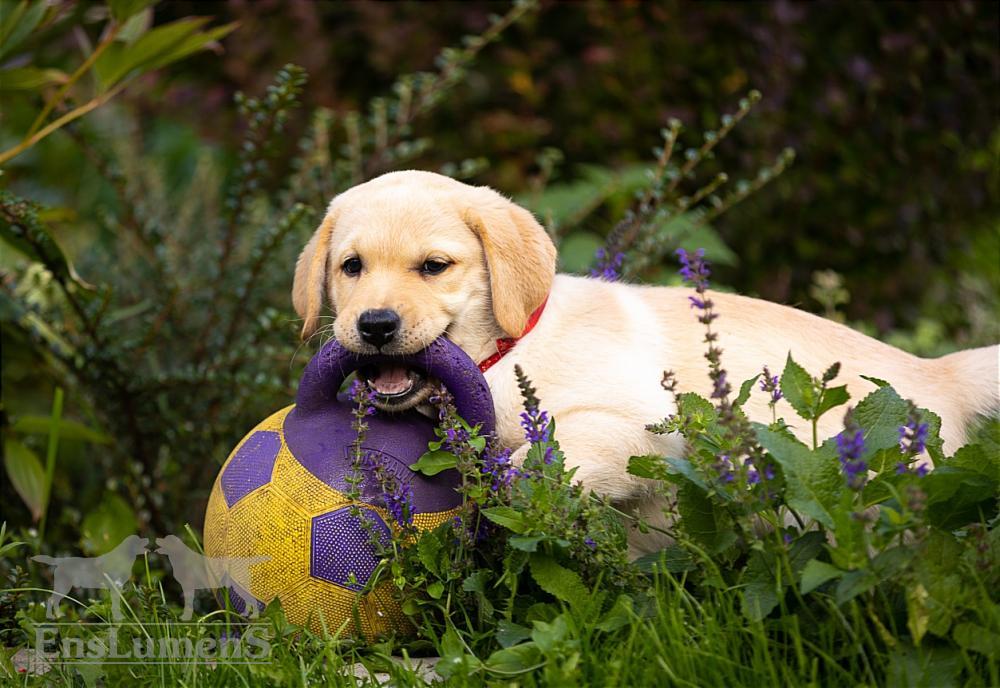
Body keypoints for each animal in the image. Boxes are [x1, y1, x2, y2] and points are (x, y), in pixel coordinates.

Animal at [292, 172, 996, 548]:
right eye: (351, 267)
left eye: (435, 267)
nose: (374, 325)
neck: (502, 355)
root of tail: (940, 371)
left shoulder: (651, 427)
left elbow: (556, 448)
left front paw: (513, 482)